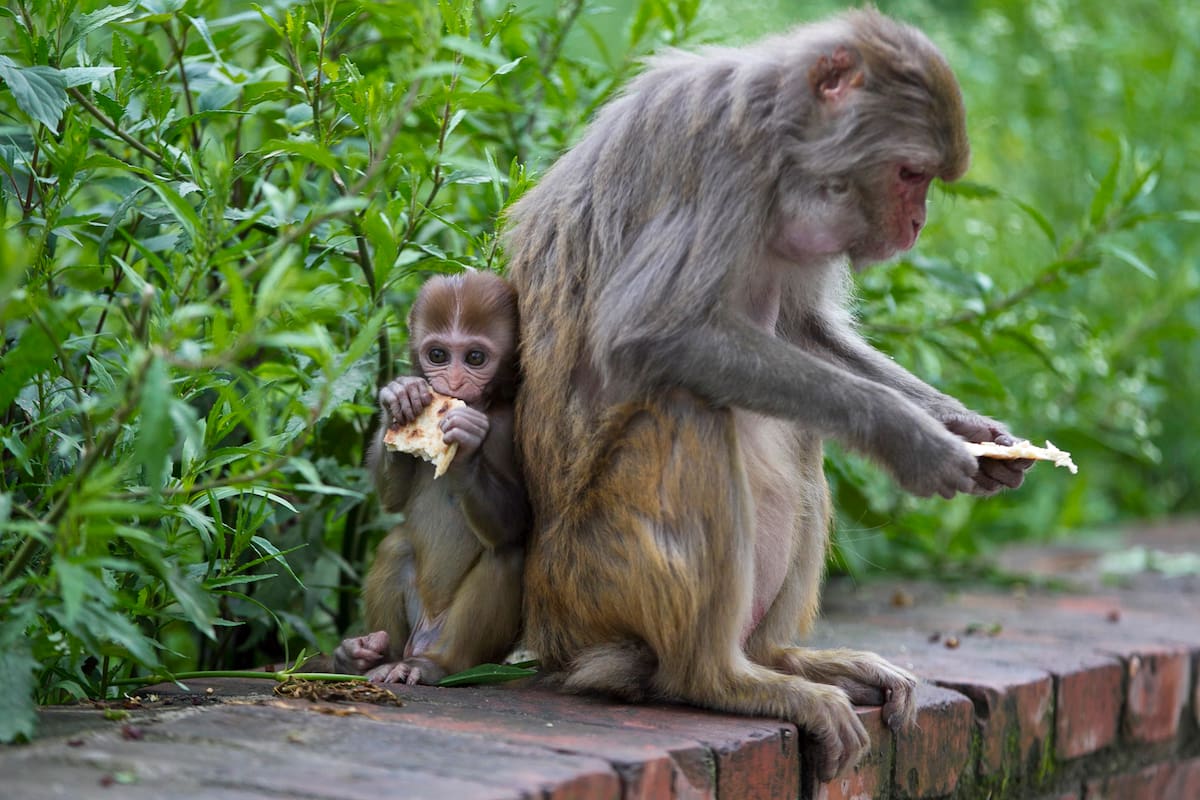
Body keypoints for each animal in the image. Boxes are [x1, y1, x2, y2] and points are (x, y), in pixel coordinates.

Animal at [334, 271, 528, 686]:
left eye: (475, 358)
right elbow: (392, 500)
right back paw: (367, 659)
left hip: (466, 648)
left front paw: (466, 449)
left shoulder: (513, 426)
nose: (452, 385)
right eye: (437, 355)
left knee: (507, 555)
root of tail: (423, 638)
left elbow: (516, 522)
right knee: (397, 544)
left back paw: (434, 667)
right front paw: (399, 400)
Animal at [501, 9, 1032, 781]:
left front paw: (965, 427)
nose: (919, 223)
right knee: (688, 404)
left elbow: (801, 331)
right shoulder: (724, 162)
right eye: (911, 175)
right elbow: (647, 333)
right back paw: (722, 679)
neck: (785, 154)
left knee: (802, 425)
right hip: (598, 578)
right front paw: (908, 436)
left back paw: (785, 659)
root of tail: (548, 626)